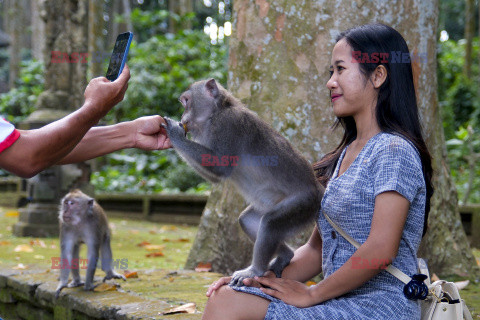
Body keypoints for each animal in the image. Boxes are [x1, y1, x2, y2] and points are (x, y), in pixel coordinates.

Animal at [161, 79, 322, 286]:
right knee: (249, 220)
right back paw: (285, 255)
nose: (182, 116)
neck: (217, 112)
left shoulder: (229, 124)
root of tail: (318, 189)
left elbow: (220, 167)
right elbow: (216, 176)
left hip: (303, 205)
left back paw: (255, 271)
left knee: (271, 223)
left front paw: (175, 134)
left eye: (186, 101)